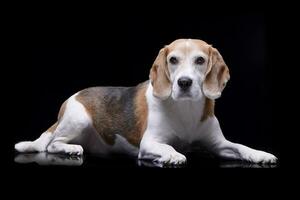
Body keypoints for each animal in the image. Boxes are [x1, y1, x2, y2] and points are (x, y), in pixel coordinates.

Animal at [14, 39, 276, 166]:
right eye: (173, 60)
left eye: (200, 60)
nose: (183, 82)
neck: (185, 110)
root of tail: (71, 99)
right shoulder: (150, 144)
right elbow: (168, 148)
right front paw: (173, 156)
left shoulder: (219, 144)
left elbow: (241, 147)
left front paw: (260, 154)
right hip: (77, 120)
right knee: (51, 145)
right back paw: (70, 149)